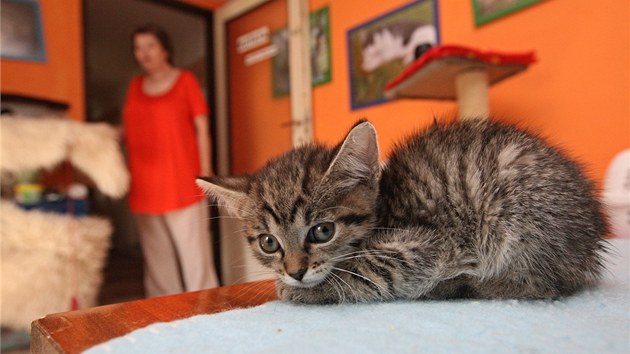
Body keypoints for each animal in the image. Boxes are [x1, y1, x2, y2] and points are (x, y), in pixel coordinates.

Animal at [200, 119, 608, 304]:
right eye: (269, 243)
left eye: (322, 231)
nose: (295, 272)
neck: (384, 207)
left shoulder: (429, 244)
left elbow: (366, 272)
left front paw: (302, 290)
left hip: (516, 219)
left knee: (540, 287)